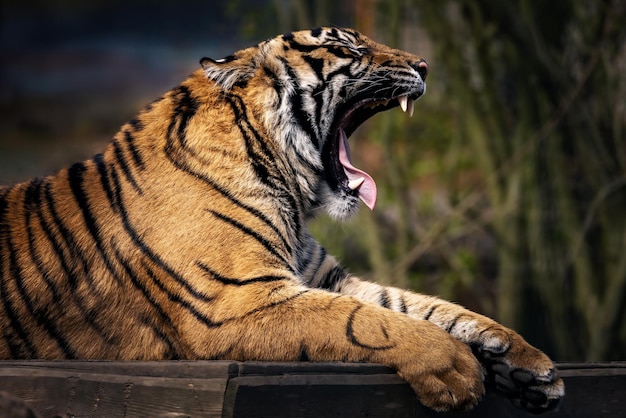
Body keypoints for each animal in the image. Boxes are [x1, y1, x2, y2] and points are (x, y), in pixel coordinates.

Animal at [0, 27, 564, 414]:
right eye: (353, 50)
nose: (424, 65)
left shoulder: (325, 278)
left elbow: (426, 307)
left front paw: (530, 364)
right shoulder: (238, 300)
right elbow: (364, 321)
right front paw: (455, 368)